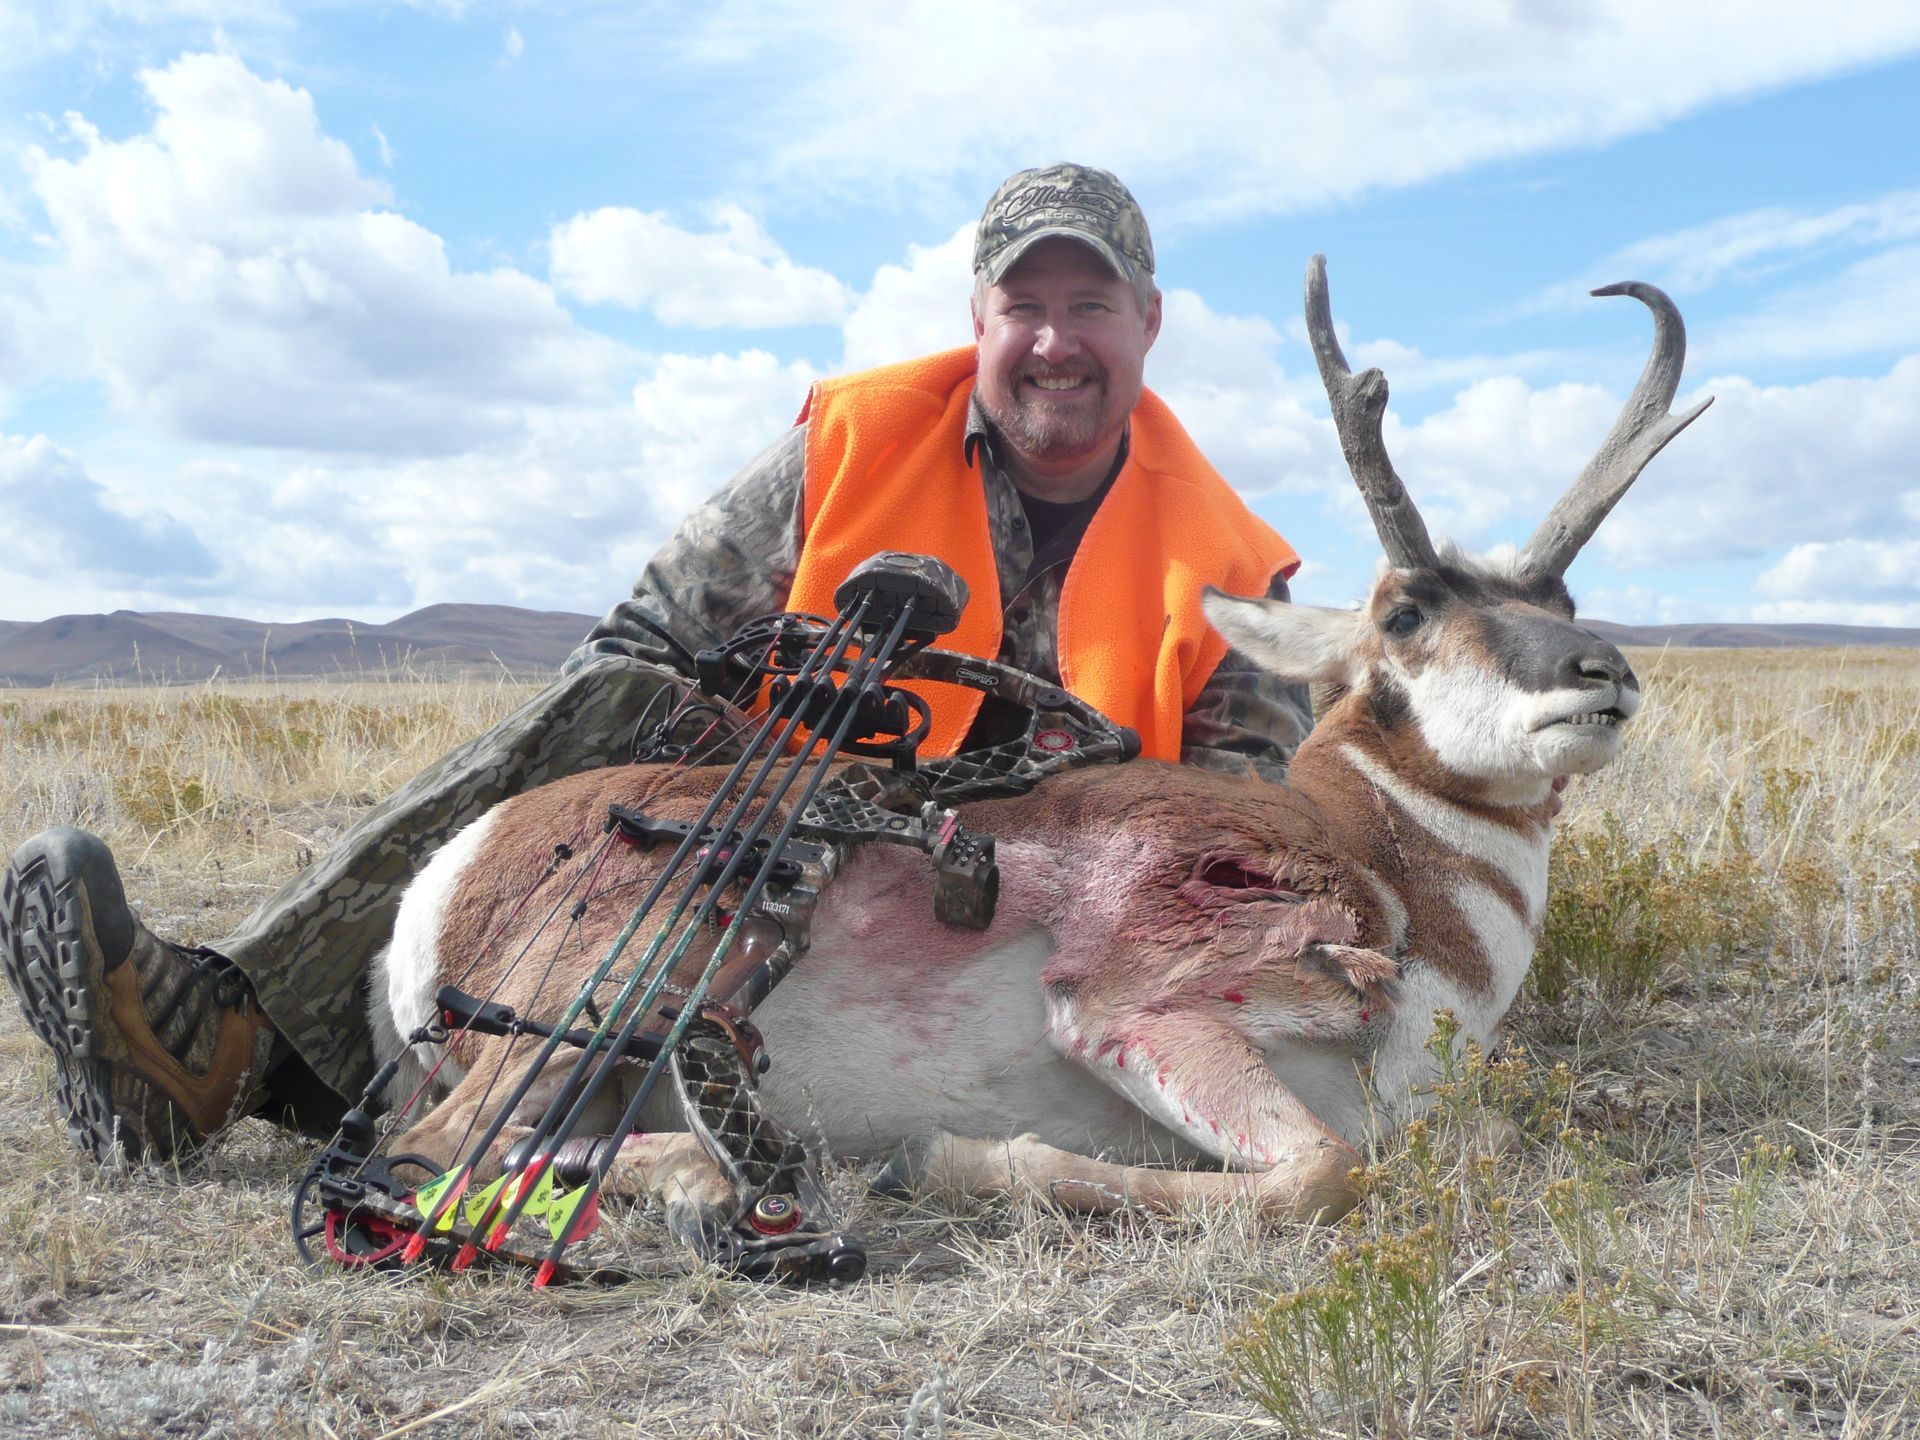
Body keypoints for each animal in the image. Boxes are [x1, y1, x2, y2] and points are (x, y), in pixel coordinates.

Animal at [368, 258, 1708, 1236]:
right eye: (1407, 613)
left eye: (1564, 603)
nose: (1603, 674)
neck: (1387, 872)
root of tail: (462, 862)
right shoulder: (1131, 1009)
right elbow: (1324, 1171)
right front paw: (944, 1159)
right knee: (423, 1154)